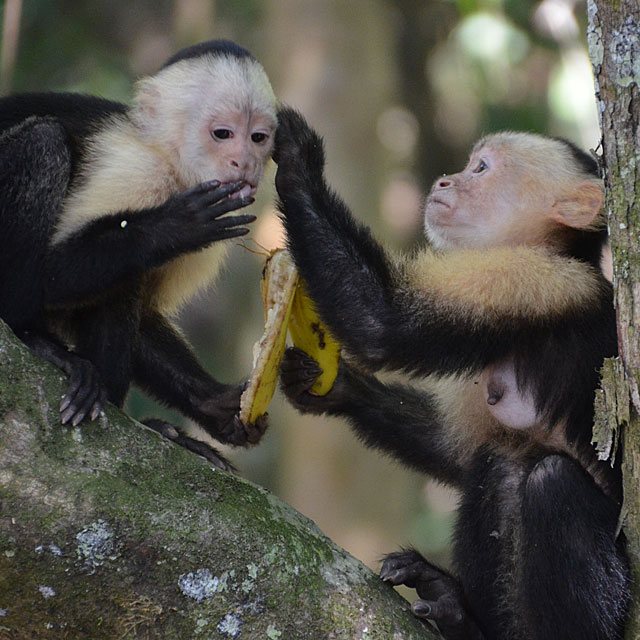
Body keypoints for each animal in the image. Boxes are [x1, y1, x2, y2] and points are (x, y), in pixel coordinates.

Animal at [0, 41, 278, 470]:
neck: (168, 159)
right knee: (43, 143)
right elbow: (51, 277)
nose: (244, 163)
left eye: (259, 137)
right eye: (222, 134)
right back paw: (33, 338)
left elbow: (145, 316)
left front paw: (217, 407)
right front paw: (175, 226)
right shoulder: (137, 173)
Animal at [274, 110, 632, 640]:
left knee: (547, 480)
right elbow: (454, 451)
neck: (560, 252)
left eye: (480, 168)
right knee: (495, 460)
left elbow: (385, 322)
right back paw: (457, 611)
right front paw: (336, 388)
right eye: (467, 165)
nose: (445, 180)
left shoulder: (529, 278)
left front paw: (297, 161)